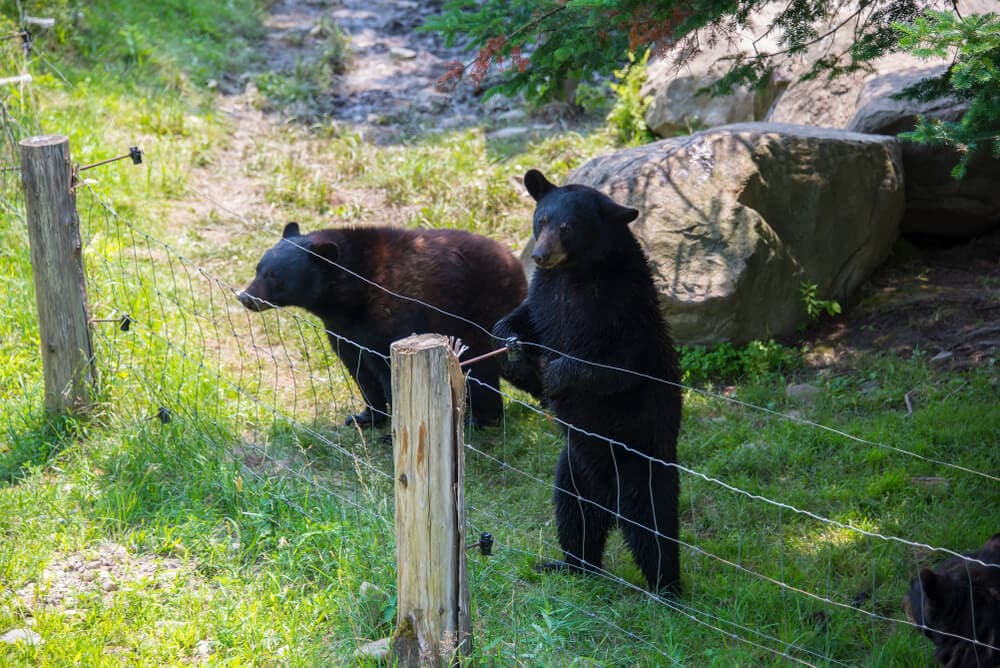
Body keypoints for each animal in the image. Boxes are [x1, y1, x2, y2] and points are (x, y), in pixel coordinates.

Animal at [239, 222, 540, 426]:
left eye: (275, 276)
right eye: (258, 268)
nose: (245, 297)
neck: (352, 294)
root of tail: (516, 264)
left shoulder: (390, 318)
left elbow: (385, 370)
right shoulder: (343, 330)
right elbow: (359, 370)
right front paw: (364, 417)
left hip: (481, 315)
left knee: (488, 369)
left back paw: (482, 418)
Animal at [490, 170, 684, 592]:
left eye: (568, 227)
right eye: (542, 219)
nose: (539, 255)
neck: (575, 273)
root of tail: (608, 497)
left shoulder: (623, 310)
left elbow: (615, 367)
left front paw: (555, 372)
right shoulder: (544, 299)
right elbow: (524, 318)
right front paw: (508, 346)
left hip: (641, 460)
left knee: (653, 524)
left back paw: (667, 589)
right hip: (572, 468)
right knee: (574, 514)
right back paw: (570, 565)